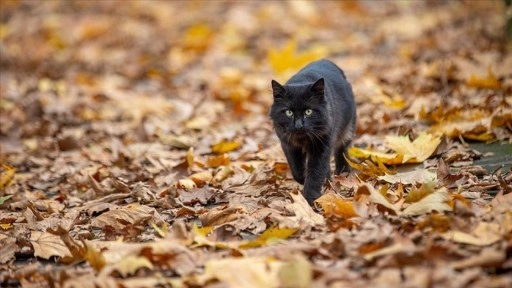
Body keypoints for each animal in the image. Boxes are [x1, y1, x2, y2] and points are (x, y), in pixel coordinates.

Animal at [272, 59, 356, 206]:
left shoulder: (321, 146)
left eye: (308, 111)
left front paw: (311, 198)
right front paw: (303, 179)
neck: (303, 139)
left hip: (347, 130)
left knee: (342, 150)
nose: (299, 125)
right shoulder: (288, 145)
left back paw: (343, 171)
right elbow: (297, 169)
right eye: (289, 112)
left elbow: (315, 172)